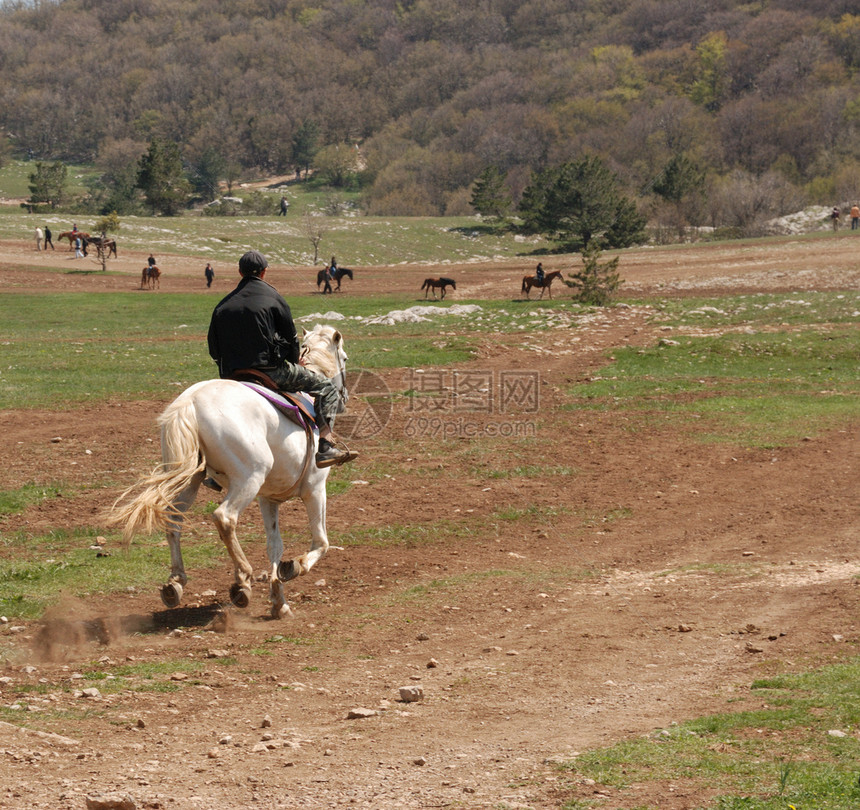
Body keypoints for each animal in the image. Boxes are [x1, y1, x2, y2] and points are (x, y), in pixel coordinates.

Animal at [108, 322, 350, 620]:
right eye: (344, 358)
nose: (343, 398)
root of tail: (190, 402)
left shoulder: (268, 499)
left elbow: (274, 546)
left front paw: (279, 601)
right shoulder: (315, 489)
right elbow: (320, 542)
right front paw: (293, 567)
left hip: (188, 480)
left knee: (173, 518)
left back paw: (175, 583)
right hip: (247, 480)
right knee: (224, 518)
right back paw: (242, 581)